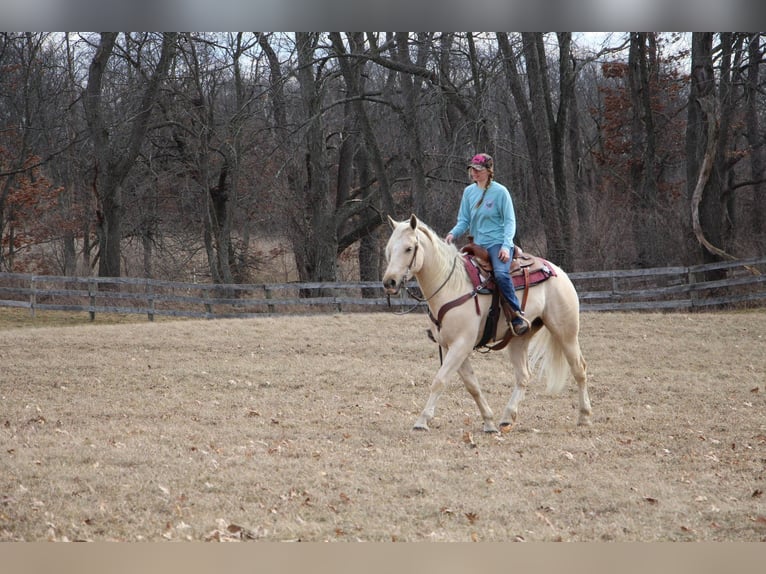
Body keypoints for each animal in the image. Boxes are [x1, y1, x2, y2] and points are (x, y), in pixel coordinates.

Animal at [384, 217, 592, 436]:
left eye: (408, 248)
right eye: (389, 249)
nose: (389, 282)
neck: (451, 286)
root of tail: (556, 270)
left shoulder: (461, 345)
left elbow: (439, 381)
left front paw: (422, 421)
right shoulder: (450, 347)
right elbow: (472, 385)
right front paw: (489, 422)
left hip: (566, 332)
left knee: (579, 369)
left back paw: (584, 417)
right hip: (519, 339)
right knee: (523, 376)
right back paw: (507, 417)